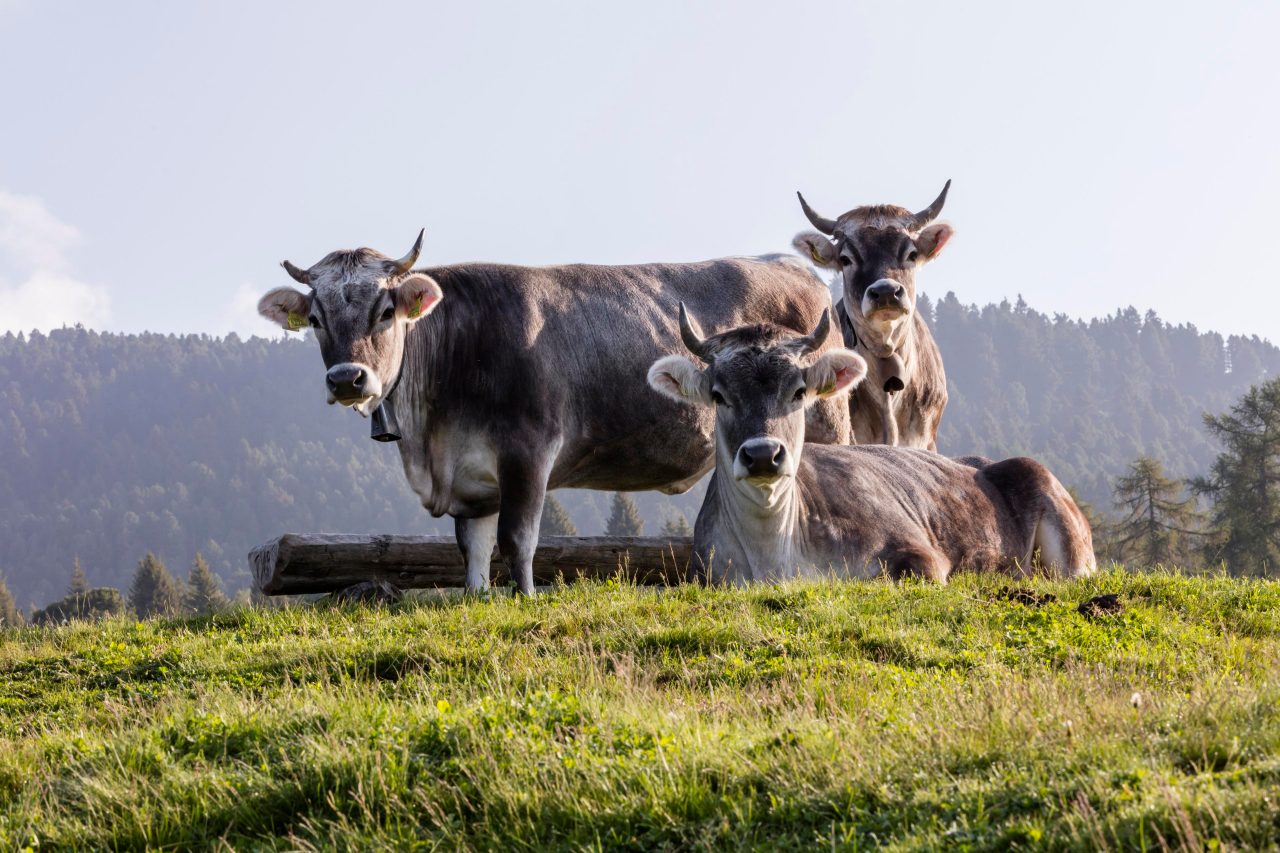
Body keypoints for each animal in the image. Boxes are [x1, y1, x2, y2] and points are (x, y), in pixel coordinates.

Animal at [257, 233, 849, 591]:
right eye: (315, 319)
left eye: (385, 312)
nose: (347, 379)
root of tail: (791, 265)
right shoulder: (471, 480)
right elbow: (472, 550)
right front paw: (477, 597)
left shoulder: (529, 451)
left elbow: (517, 541)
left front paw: (524, 597)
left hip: (826, 428)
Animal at [645, 307, 1095, 584]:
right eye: (718, 395)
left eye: (799, 391)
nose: (762, 455)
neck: (774, 555)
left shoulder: (921, 555)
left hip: (1067, 541)